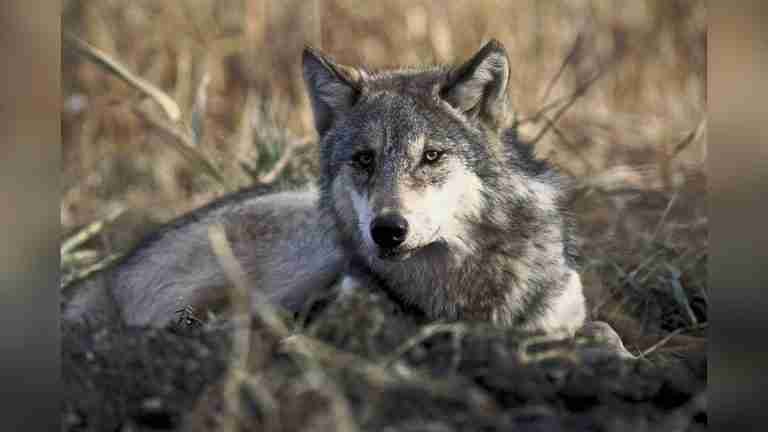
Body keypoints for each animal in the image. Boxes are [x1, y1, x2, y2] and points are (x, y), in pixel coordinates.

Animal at [63, 40, 587, 335]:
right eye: (364, 159)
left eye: (431, 156)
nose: (388, 231)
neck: (456, 288)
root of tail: (109, 275)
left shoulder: (564, 302)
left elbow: (584, 327)